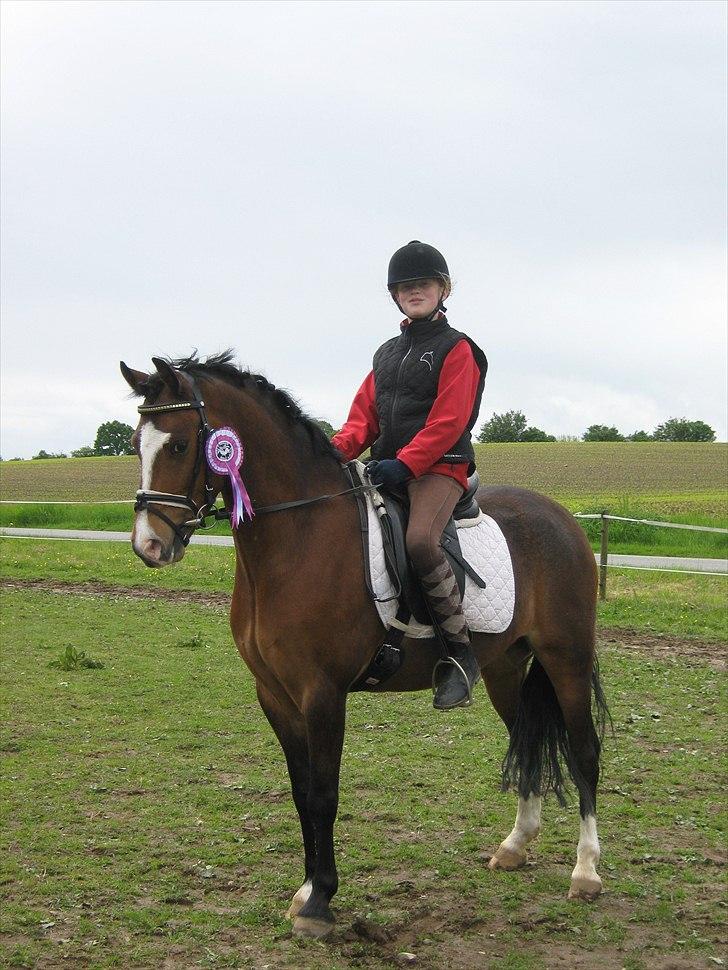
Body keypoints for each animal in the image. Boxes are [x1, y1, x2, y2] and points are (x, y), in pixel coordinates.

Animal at [120, 351, 609, 939]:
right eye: (135, 443)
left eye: (177, 445)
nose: (149, 545)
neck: (300, 536)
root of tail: (563, 519)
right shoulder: (276, 695)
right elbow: (301, 791)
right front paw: (306, 889)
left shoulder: (322, 693)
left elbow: (324, 793)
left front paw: (319, 902)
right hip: (505, 668)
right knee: (526, 739)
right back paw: (515, 846)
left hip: (567, 659)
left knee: (584, 751)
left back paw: (586, 872)